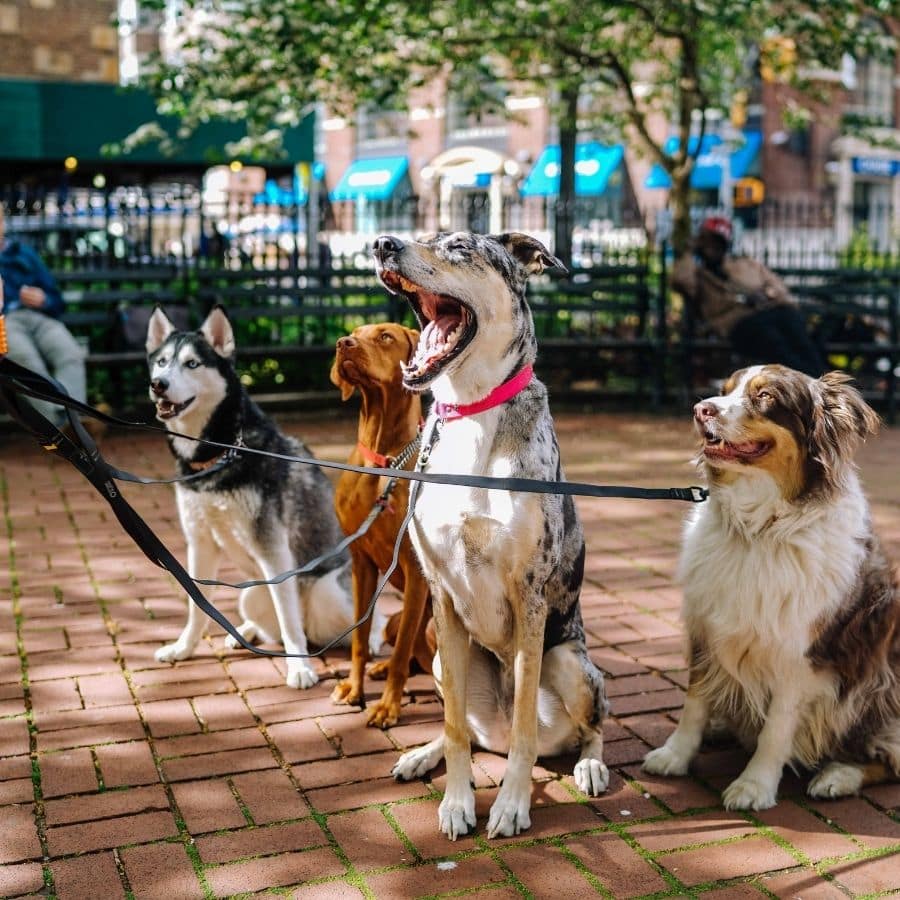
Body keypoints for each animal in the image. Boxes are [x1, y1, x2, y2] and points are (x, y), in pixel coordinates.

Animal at [145, 308, 384, 688]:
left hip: (326, 593)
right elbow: (197, 606)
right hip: (251, 594)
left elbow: (288, 619)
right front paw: (183, 648)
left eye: (192, 363)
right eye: (162, 362)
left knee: (366, 618)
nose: (159, 384)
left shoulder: (273, 548)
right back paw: (244, 632)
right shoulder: (200, 543)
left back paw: (370, 639)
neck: (220, 453)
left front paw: (300, 668)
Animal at [330, 320, 432, 728]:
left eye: (385, 336)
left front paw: (388, 707)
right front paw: (354, 689)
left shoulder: (416, 571)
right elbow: (359, 639)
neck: (383, 461)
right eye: (354, 333)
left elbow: (403, 654)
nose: (343, 343)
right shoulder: (361, 562)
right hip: (394, 618)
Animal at [372, 230, 612, 836]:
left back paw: (590, 766)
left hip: (570, 664)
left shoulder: (529, 595)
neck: (471, 412)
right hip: (440, 657)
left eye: (459, 246)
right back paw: (422, 755)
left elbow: (526, 725)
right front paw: (458, 802)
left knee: (590, 726)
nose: (383, 243)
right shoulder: (440, 594)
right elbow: (456, 728)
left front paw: (510, 805)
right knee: (471, 730)